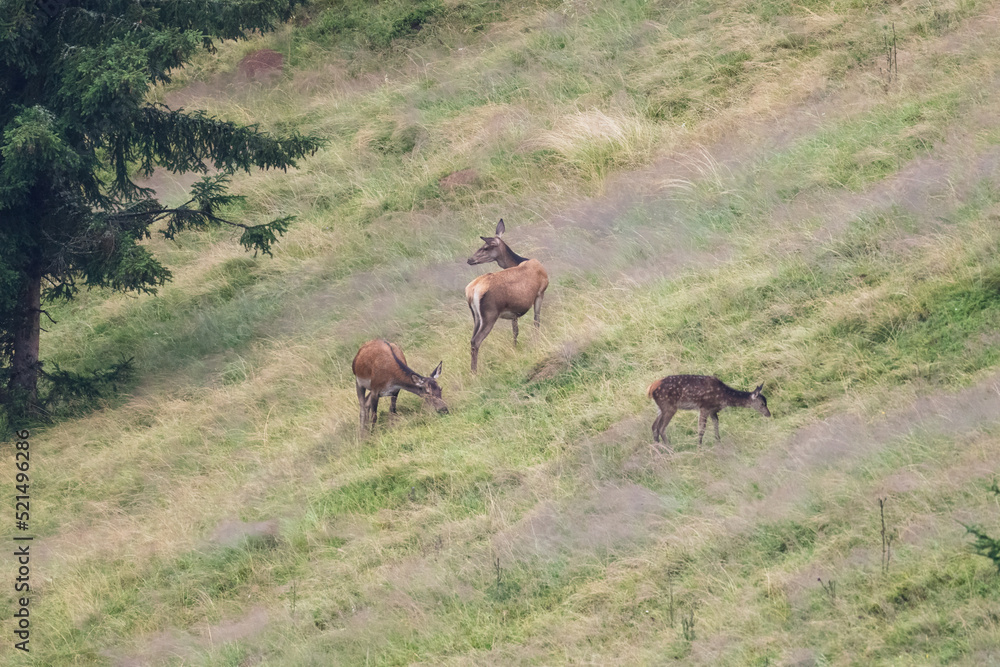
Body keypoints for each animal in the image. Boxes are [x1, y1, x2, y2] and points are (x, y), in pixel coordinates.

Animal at [464, 222, 552, 374]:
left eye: (485, 247)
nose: (470, 259)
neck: (521, 260)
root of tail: (471, 291)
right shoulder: (540, 292)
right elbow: (536, 321)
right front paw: (537, 342)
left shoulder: (513, 311)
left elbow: (515, 331)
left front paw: (515, 348)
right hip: (490, 315)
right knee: (476, 341)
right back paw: (474, 373)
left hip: (476, 317)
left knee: (471, 340)